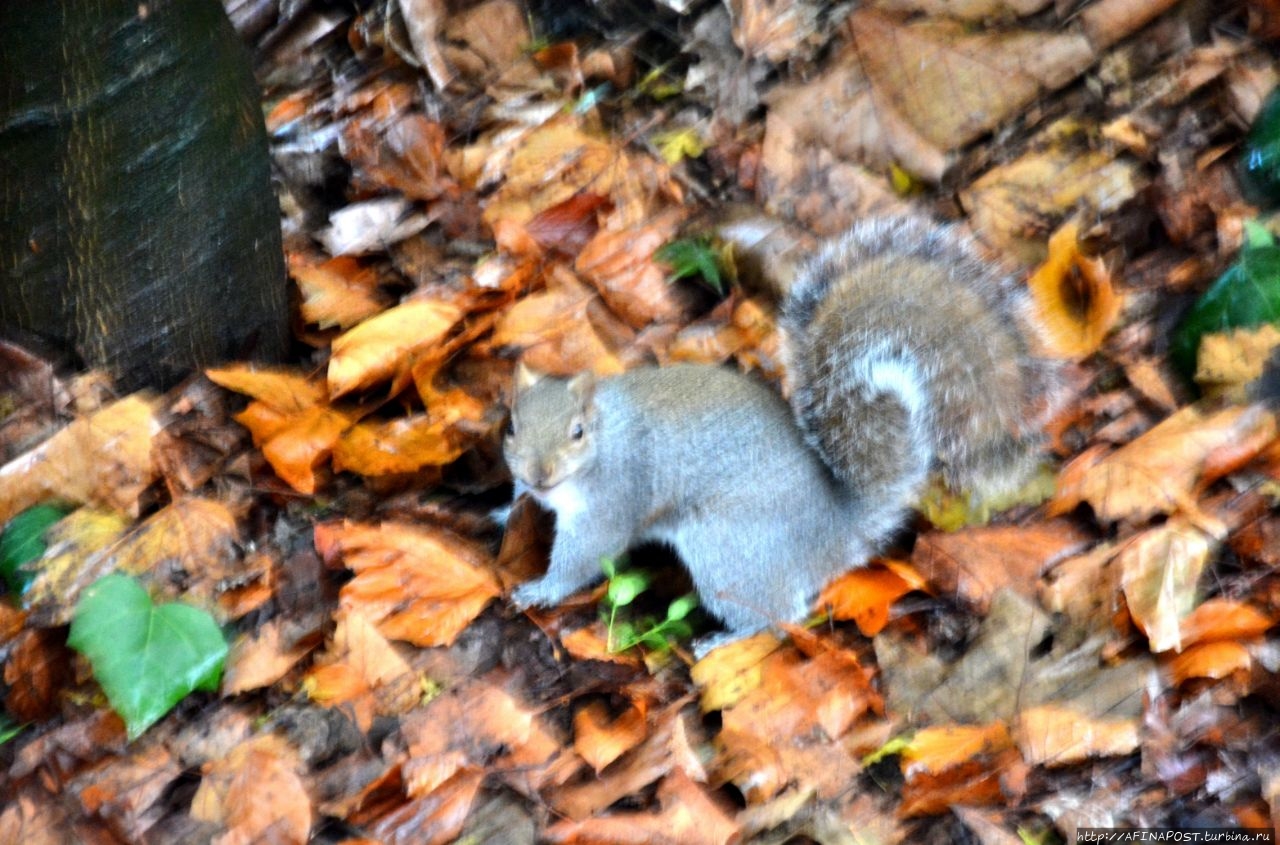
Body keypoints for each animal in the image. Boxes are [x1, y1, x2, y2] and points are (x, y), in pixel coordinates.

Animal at [504, 212, 1054, 652]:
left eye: (577, 432)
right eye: (510, 426)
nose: (537, 474)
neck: (604, 437)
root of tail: (833, 532)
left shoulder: (614, 498)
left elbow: (585, 556)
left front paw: (540, 589)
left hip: (727, 549)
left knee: (779, 615)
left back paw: (723, 640)